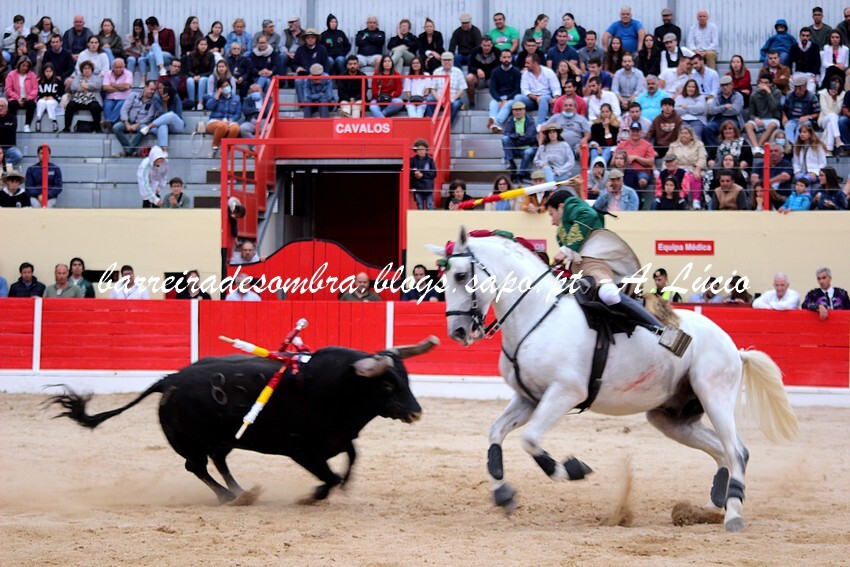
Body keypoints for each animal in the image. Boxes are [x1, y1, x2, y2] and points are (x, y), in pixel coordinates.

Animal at [49, 336, 438, 504]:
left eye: (406, 378)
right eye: (387, 384)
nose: (415, 411)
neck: (341, 387)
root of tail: (170, 379)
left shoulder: (340, 440)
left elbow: (352, 459)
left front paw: (341, 487)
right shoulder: (304, 452)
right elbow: (330, 474)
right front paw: (315, 494)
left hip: (225, 438)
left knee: (217, 461)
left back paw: (241, 491)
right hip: (192, 442)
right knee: (197, 466)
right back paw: (230, 497)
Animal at [431, 226, 798, 532]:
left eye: (461, 274)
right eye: (441, 279)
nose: (458, 331)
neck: (537, 313)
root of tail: (735, 348)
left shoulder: (564, 393)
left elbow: (530, 439)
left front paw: (575, 468)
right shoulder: (528, 398)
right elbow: (496, 434)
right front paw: (504, 494)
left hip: (715, 395)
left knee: (735, 450)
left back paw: (733, 516)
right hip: (671, 417)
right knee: (726, 452)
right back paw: (709, 507)